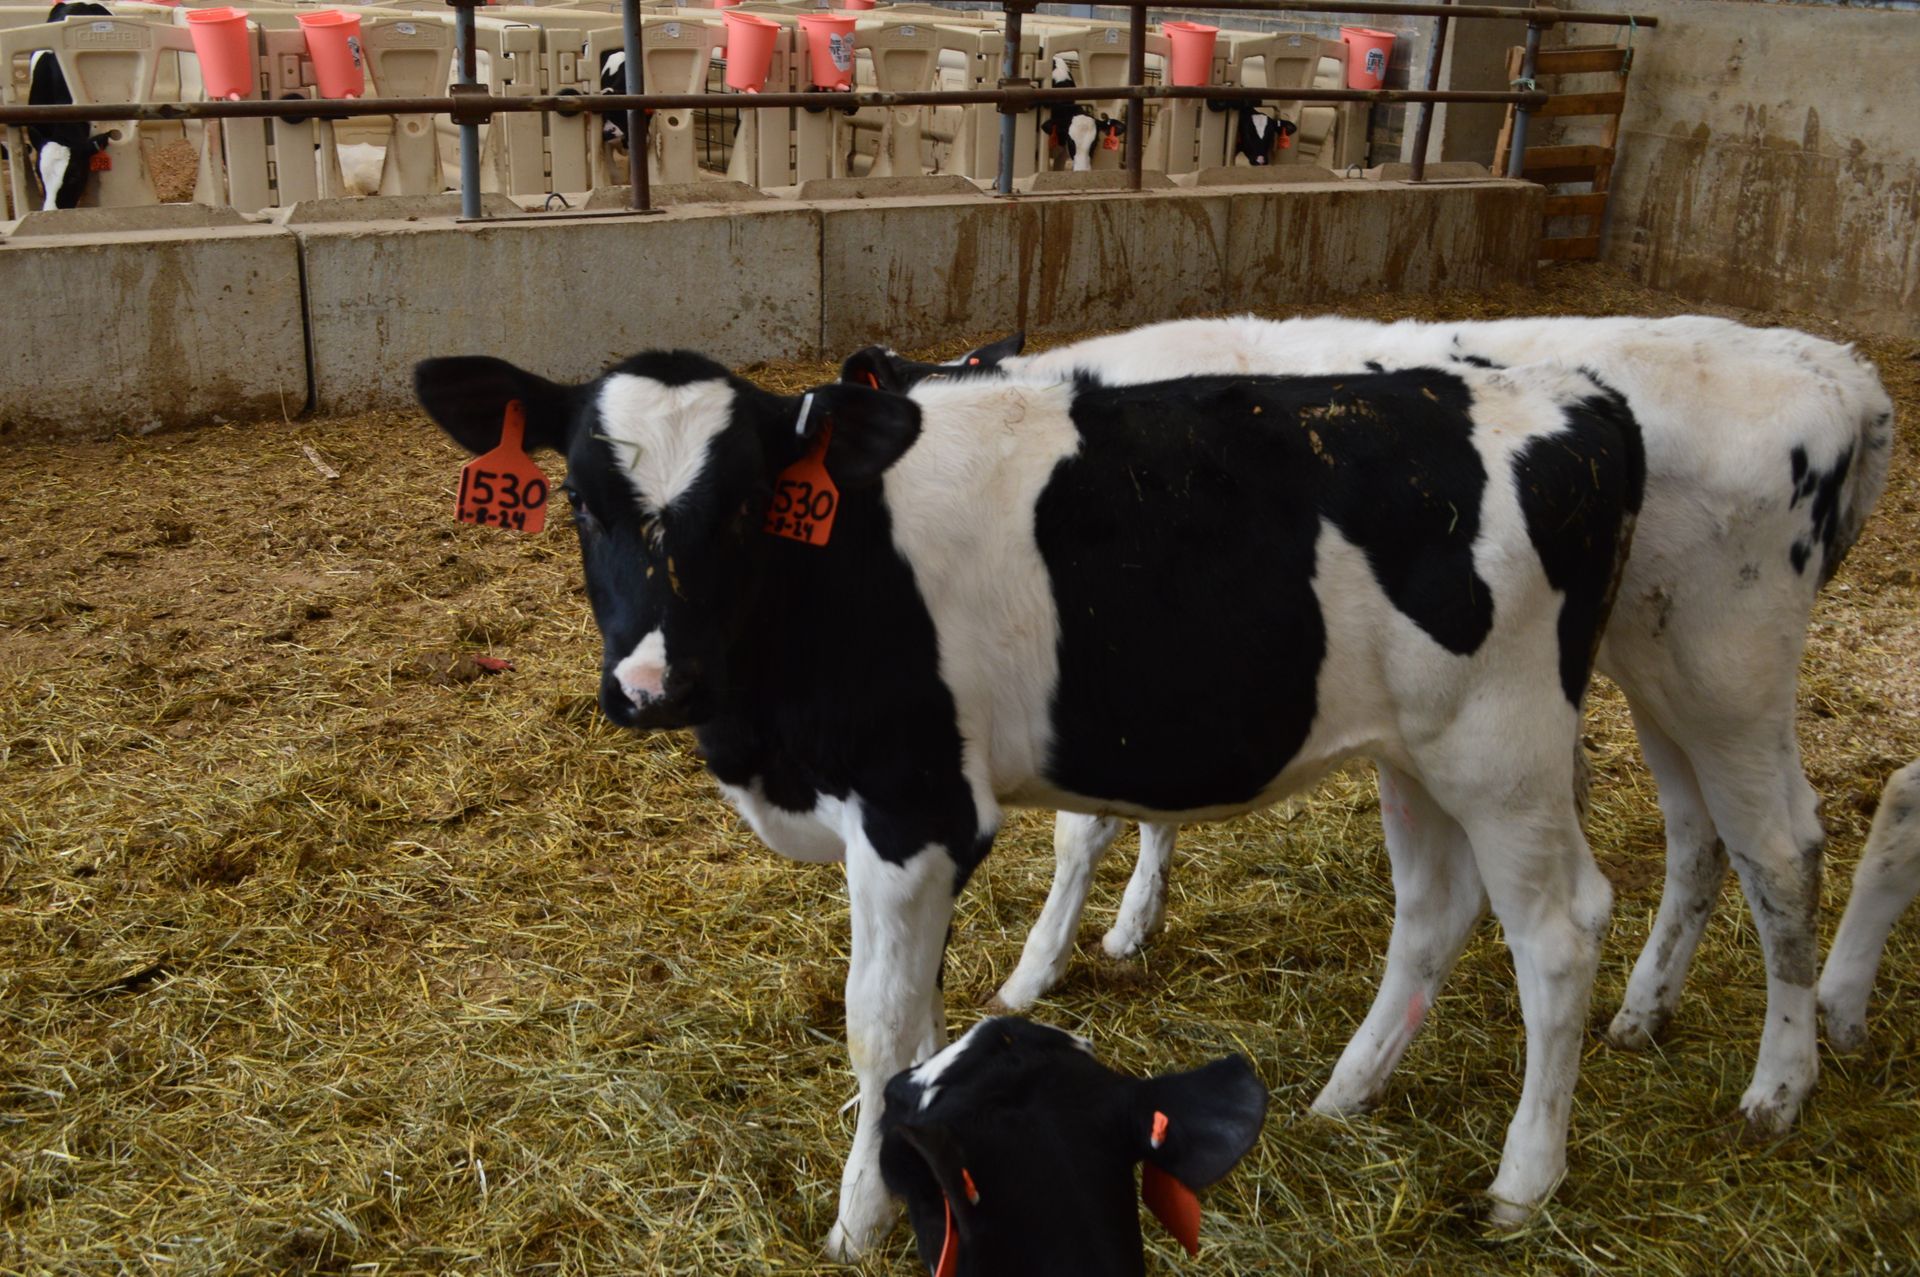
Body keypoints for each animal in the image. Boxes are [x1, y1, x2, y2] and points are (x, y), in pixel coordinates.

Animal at [844, 312, 1894, 1138]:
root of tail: (1840, 371)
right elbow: (1149, 816)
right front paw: (1133, 922)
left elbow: (1085, 830)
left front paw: (1036, 968)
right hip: (1654, 672)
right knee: (1700, 836)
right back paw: (1643, 1012)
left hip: (1724, 673)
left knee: (1782, 850)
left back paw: (1779, 1082)